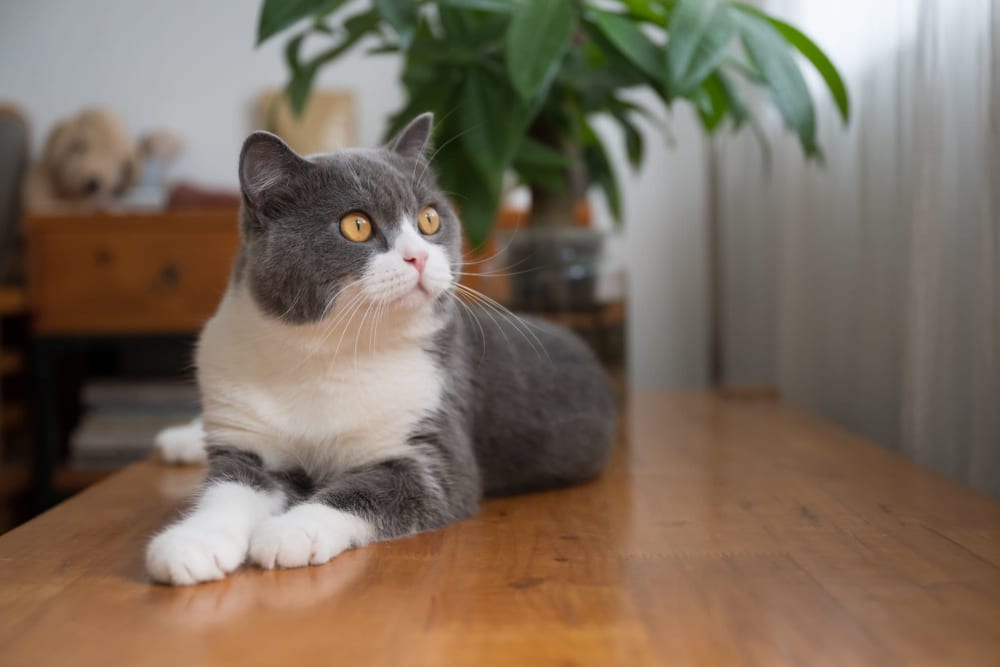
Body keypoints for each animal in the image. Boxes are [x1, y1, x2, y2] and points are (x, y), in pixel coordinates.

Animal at [144, 115, 612, 584]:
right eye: (357, 225)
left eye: (429, 219)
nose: (419, 257)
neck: (325, 354)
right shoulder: (246, 439)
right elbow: (229, 488)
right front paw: (192, 544)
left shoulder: (434, 448)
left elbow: (366, 491)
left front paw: (291, 531)